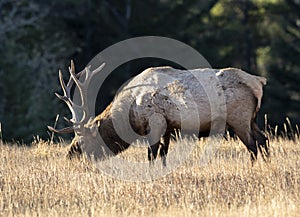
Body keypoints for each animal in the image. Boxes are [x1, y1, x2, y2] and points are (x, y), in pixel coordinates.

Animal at [48, 60, 268, 166]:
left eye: (82, 140)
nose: (69, 156)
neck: (130, 112)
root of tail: (258, 82)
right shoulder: (168, 127)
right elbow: (163, 155)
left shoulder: (156, 123)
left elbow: (151, 155)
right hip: (252, 118)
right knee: (263, 139)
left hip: (239, 117)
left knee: (253, 145)